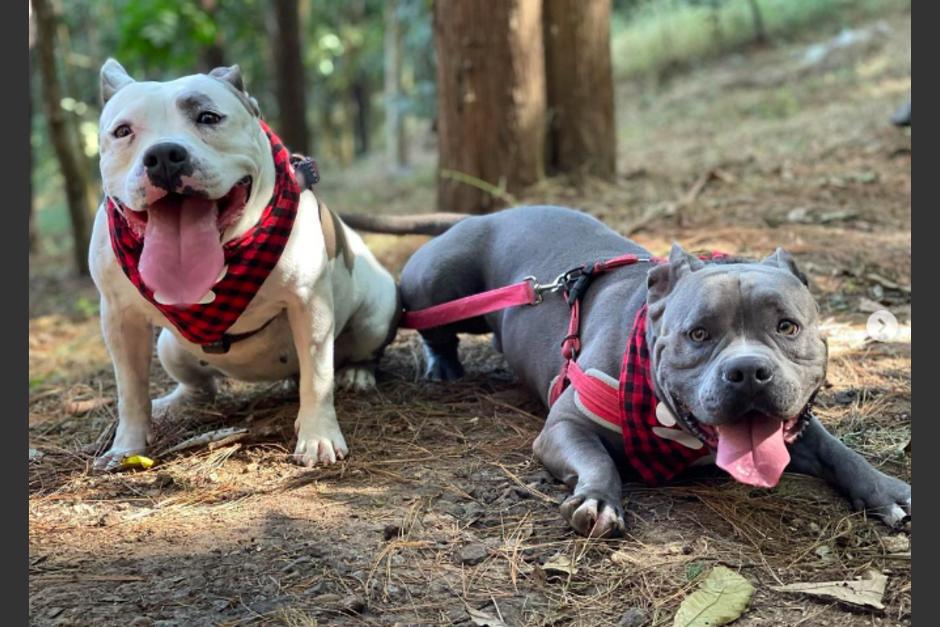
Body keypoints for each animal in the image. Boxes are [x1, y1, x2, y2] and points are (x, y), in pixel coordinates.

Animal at [87, 60, 396, 472]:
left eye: (209, 117)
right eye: (123, 131)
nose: (164, 155)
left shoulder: (309, 303)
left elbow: (317, 378)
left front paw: (318, 436)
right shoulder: (120, 318)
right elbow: (130, 390)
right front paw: (126, 448)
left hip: (376, 314)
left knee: (352, 354)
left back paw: (356, 374)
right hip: (171, 345)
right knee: (200, 387)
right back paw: (173, 403)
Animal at [392, 207, 912, 540]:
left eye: (788, 327)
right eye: (698, 334)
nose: (748, 371)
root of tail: (483, 217)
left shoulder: (795, 430)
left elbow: (837, 450)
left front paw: (886, 490)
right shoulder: (564, 426)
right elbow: (596, 459)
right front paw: (598, 499)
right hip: (437, 284)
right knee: (433, 326)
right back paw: (442, 365)